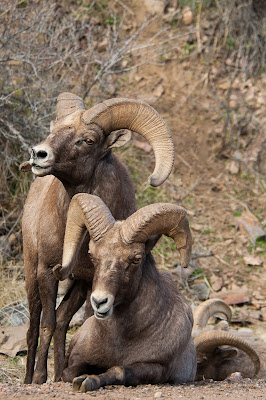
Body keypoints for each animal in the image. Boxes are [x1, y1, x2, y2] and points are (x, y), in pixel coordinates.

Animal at [20, 94, 175, 384]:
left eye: (89, 139)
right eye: (53, 128)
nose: (38, 154)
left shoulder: (92, 279)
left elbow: (69, 323)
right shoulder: (46, 270)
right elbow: (46, 324)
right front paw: (38, 379)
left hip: (77, 286)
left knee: (62, 323)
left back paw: (59, 375)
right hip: (31, 273)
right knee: (35, 325)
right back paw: (28, 379)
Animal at [57, 193, 195, 390]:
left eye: (136, 259)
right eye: (91, 255)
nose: (99, 301)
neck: (120, 341)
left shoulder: (156, 368)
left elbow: (119, 370)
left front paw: (88, 381)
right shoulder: (76, 357)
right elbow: (69, 372)